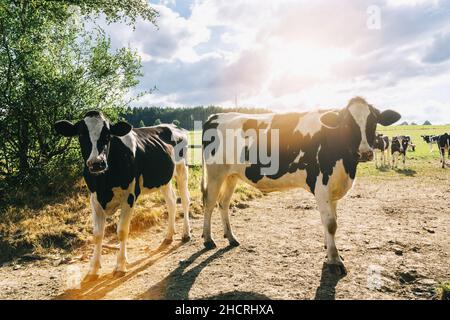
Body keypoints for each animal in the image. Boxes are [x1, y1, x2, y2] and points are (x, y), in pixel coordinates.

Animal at [200, 96, 400, 274]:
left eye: (373, 121)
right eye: (347, 124)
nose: (365, 153)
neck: (346, 165)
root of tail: (216, 116)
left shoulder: (334, 188)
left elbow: (332, 220)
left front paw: (328, 249)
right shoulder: (322, 187)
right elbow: (331, 224)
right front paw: (334, 260)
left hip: (231, 175)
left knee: (223, 203)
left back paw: (231, 237)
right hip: (215, 173)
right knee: (209, 203)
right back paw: (208, 239)